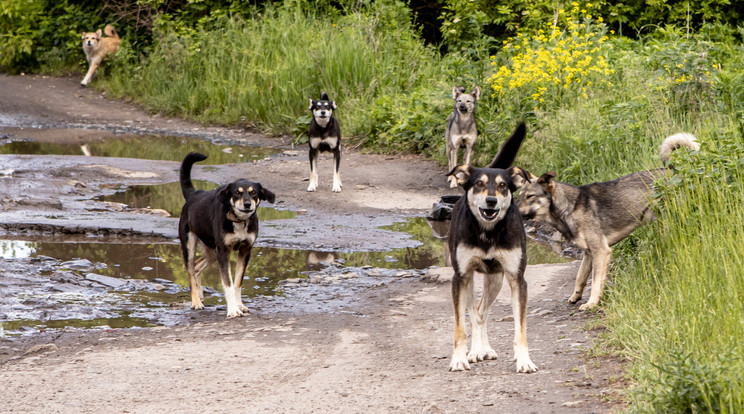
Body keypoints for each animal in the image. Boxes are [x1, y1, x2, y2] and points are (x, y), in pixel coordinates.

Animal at [179, 152, 276, 316]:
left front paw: (239, 305)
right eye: (237, 192)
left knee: (197, 267)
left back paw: (200, 293)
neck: (239, 221)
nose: (247, 204)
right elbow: (228, 283)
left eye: (253, 192)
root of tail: (194, 195)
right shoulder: (224, 252)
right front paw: (232, 310)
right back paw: (196, 302)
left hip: (212, 252)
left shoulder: (245, 250)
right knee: (191, 272)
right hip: (190, 246)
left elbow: (237, 283)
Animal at [444, 121, 536, 374]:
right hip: (468, 280)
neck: (488, 232)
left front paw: (524, 360)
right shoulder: (460, 277)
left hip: (495, 279)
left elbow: (520, 329)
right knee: (475, 312)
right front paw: (459, 358)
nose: (491, 201)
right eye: (479, 184)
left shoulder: (517, 279)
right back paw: (476, 350)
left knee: (482, 311)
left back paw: (482, 348)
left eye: (503, 185)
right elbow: (460, 326)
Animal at [516, 133, 700, 310]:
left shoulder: (601, 252)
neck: (570, 207)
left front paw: (592, 303)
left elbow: (596, 282)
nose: (513, 210)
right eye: (520, 196)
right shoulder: (589, 254)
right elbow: (580, 277)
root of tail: (679, 172)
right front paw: (576, 296)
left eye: (530, 196)